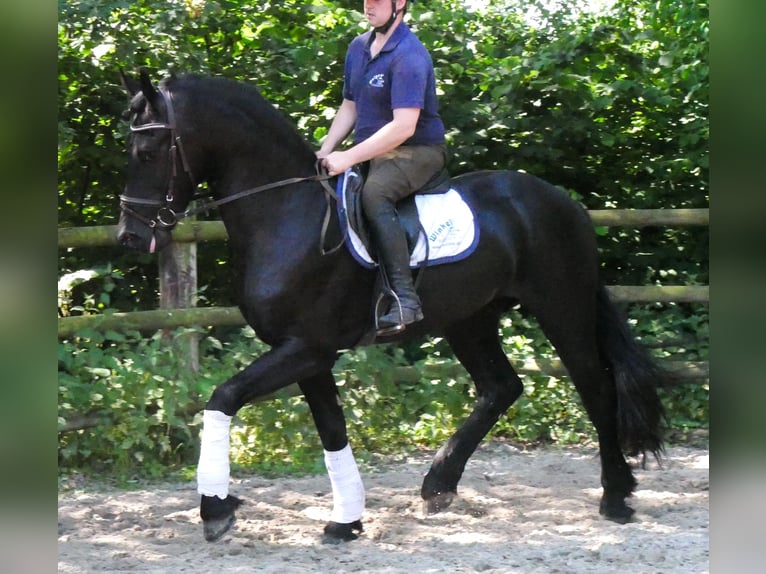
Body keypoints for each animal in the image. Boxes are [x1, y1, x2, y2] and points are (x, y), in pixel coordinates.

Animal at [116, 70, 667, 543]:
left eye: (148, 149)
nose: (130, 237)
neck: (287, 214)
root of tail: (563, 200)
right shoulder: (307, 355)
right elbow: (332, 430)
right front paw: (347, 521)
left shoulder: (307, 348)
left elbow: (223, 397)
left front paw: (216, 509)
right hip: (469, 319)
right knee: (501, 387)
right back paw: (438, 486)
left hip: (561, 307)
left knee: (595, 386)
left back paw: (616, 497)